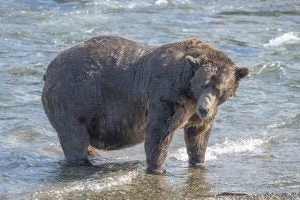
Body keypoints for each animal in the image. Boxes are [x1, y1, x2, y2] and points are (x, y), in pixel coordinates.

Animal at [42, 36, 248, 173]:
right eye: (204, 83)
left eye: (219, 88)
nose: (205, 108)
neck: (189, 91)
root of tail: (49, 68)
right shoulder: (167, 95)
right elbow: (160, 132)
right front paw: (158, 168)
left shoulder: (195, 111)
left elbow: (199, 134)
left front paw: (198, 162)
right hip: (74, 97)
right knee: (74, 136)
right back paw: (85, 163)